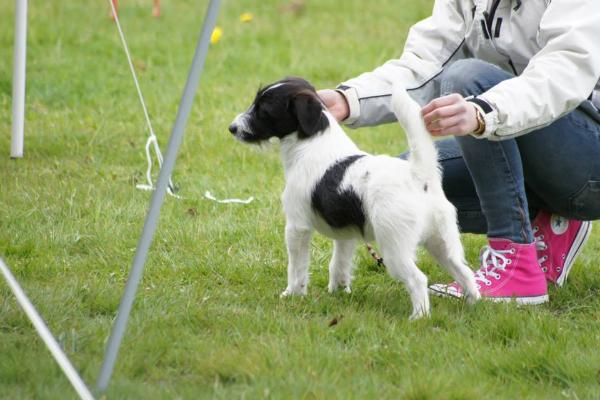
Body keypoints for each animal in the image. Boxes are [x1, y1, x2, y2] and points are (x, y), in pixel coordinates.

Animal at [227, 77, 480, 318]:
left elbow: (297, 267)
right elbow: (338, 264)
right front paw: (338, 292)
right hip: (442, 243)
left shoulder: (297, 227)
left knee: (418, 280)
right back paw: (474, 306)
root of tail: (419, 176)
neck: (312, 144)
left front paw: (292, 294)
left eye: (264, 109)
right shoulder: (346, 234)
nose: (232, 128)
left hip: (395, 249)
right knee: (464, 272)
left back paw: (419, 317)